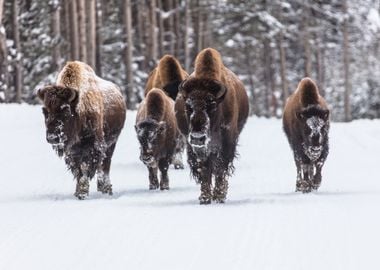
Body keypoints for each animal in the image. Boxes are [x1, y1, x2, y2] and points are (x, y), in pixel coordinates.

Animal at [37, 62, 126, 199]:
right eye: (44, 111)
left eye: (66, 110)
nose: (52, 138)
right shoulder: (72, 151)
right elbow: (78, 169)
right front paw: (78, 192)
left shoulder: (94, 146)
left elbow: (86, 168)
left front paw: (82, 193)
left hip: (112, 143)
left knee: (105, 165)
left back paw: (106, 189)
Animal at [174, 48, 249, 205]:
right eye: (188, 106)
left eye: (212, 105)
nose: (198, 137)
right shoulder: (196, 148)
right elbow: (204, 169)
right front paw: (205, 197)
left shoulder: (227, 141)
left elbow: (221, 168)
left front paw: (219, 196)